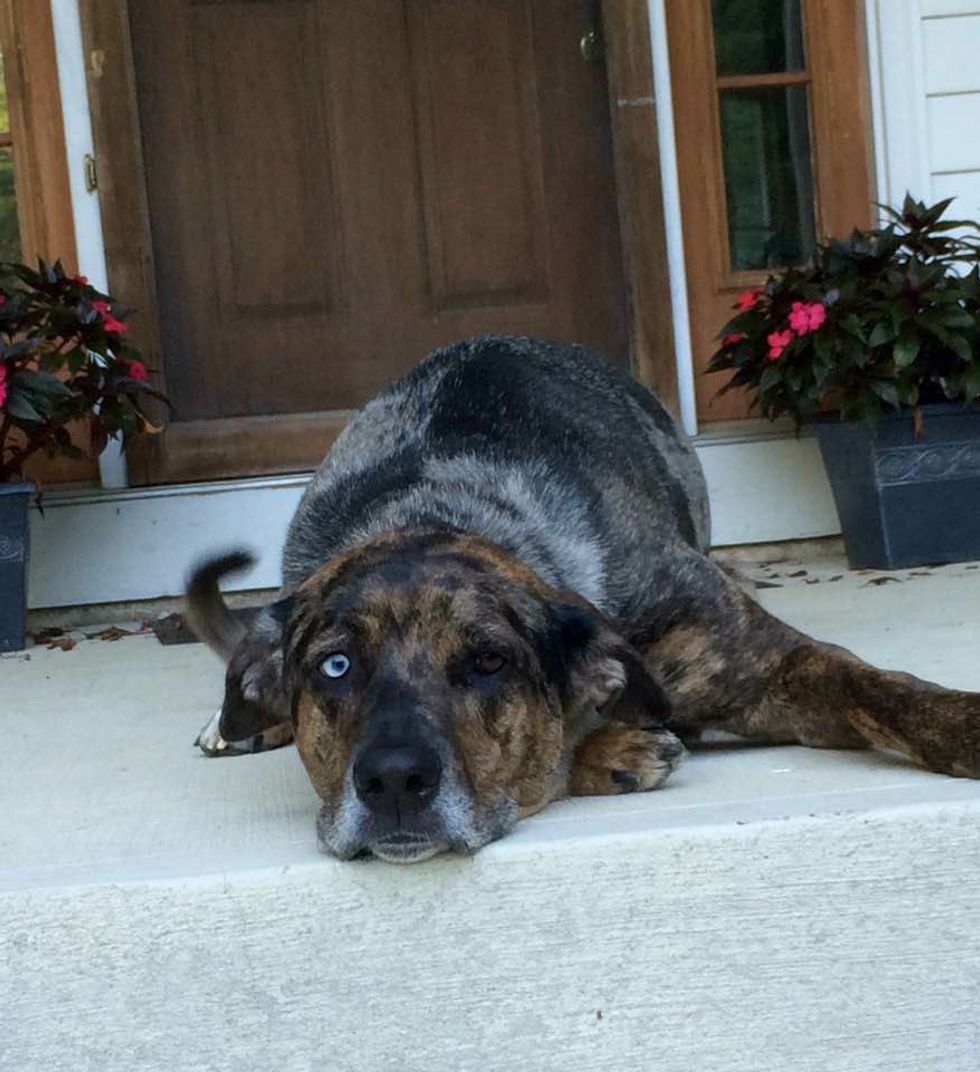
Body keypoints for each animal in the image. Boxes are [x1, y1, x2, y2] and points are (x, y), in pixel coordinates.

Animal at [187, 335, 980, 863]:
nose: (393, 781)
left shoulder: (766, 664)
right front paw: (610, 751)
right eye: (336, 667)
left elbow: (882, 690)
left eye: (490, 661)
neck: (441, 505)